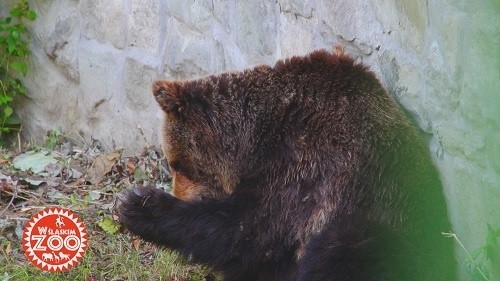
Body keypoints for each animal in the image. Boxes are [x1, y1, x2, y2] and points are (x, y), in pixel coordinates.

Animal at [118, 48, 458, 280]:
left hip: (394, 230)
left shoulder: (308, 166)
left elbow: (249, 229)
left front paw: (139, 204)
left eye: (178, 164)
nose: (180, 193)